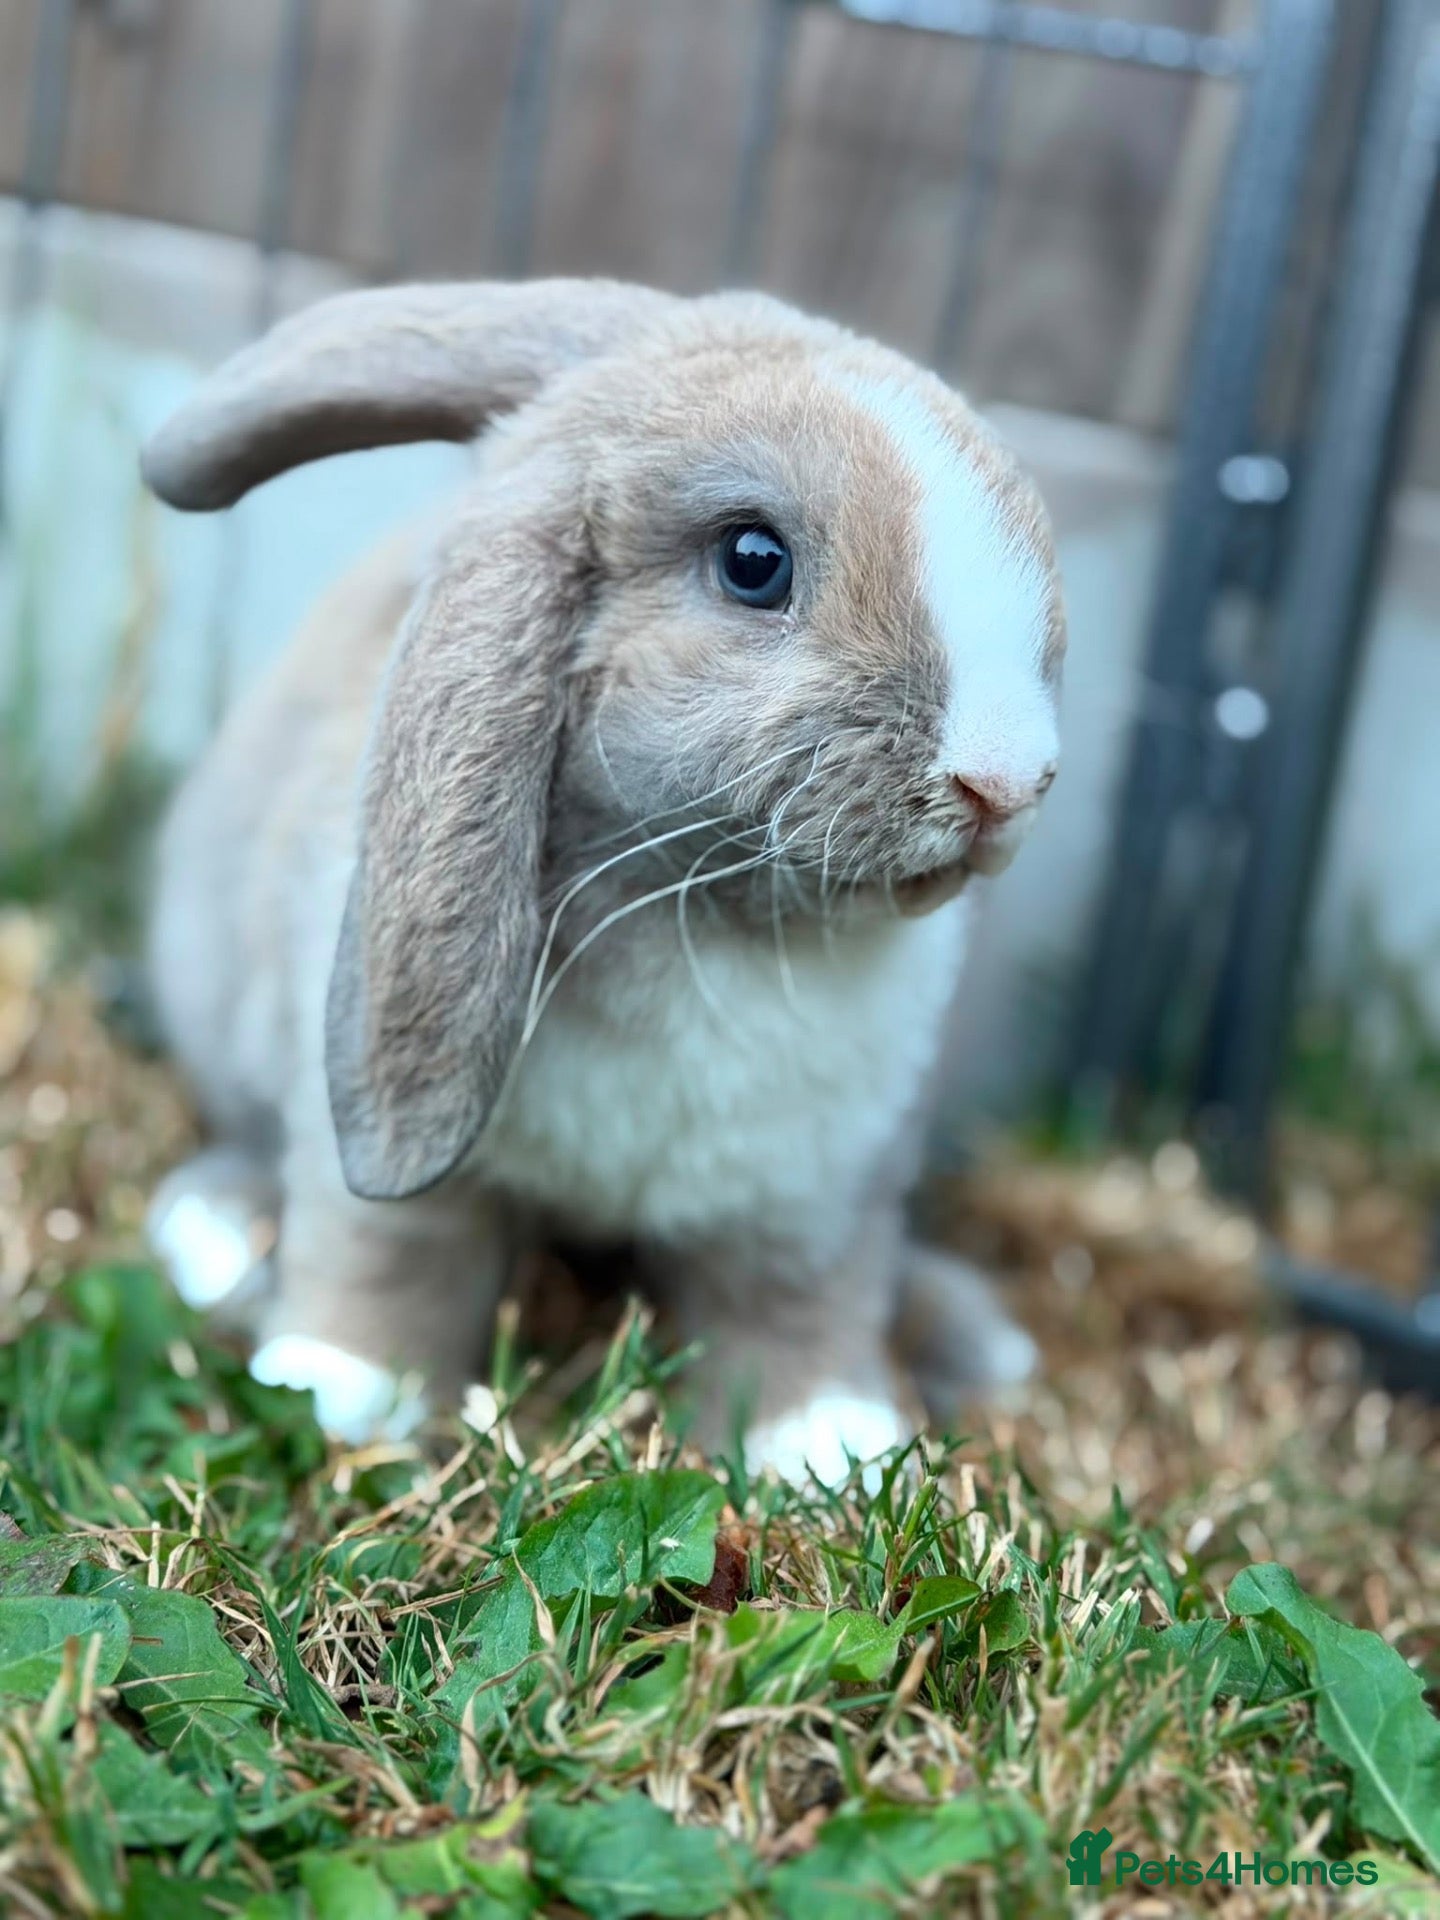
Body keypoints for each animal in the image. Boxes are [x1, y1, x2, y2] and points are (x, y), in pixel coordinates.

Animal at [141, 279, 1064, 1484]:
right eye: (753, 561)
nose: (1008, 778)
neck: (708, 918)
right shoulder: (368, 1115)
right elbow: (394, 1240)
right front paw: (343, 1390)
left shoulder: (815, 1190)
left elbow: (794, 1298)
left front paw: (824, 1437)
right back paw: (219, 1241)